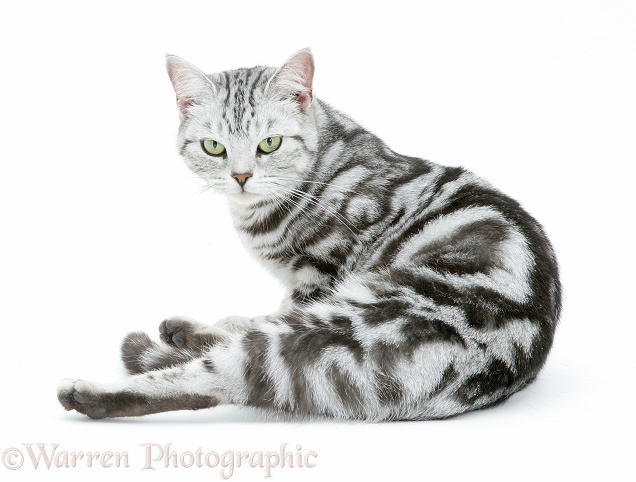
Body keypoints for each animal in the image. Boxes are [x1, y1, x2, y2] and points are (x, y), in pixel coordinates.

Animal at [57, 47, 560, 420]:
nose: (241, 176)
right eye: (214, 147)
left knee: (223, 374)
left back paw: (93, 390)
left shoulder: (320, 273)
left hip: (341, 316)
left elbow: (268, 317)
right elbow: (259, 315)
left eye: (270, 143)